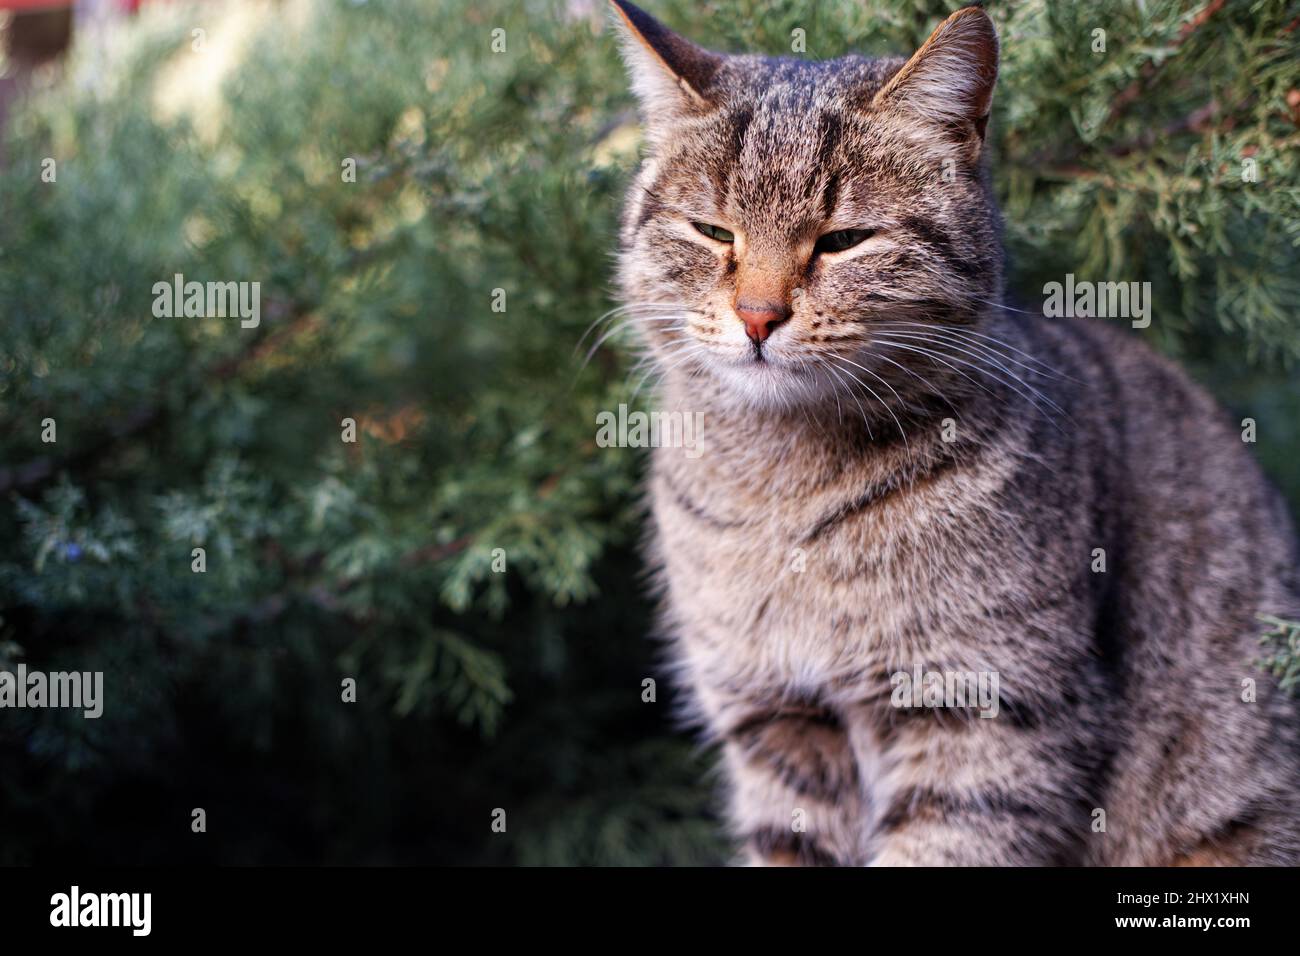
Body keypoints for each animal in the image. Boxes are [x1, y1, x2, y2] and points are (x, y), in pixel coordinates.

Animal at [608, 1, 1300, 868]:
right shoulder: (776, 721)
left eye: (843, 240)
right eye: (712, 232)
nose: (758, 316)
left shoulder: (983, 720)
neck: (784, 482)